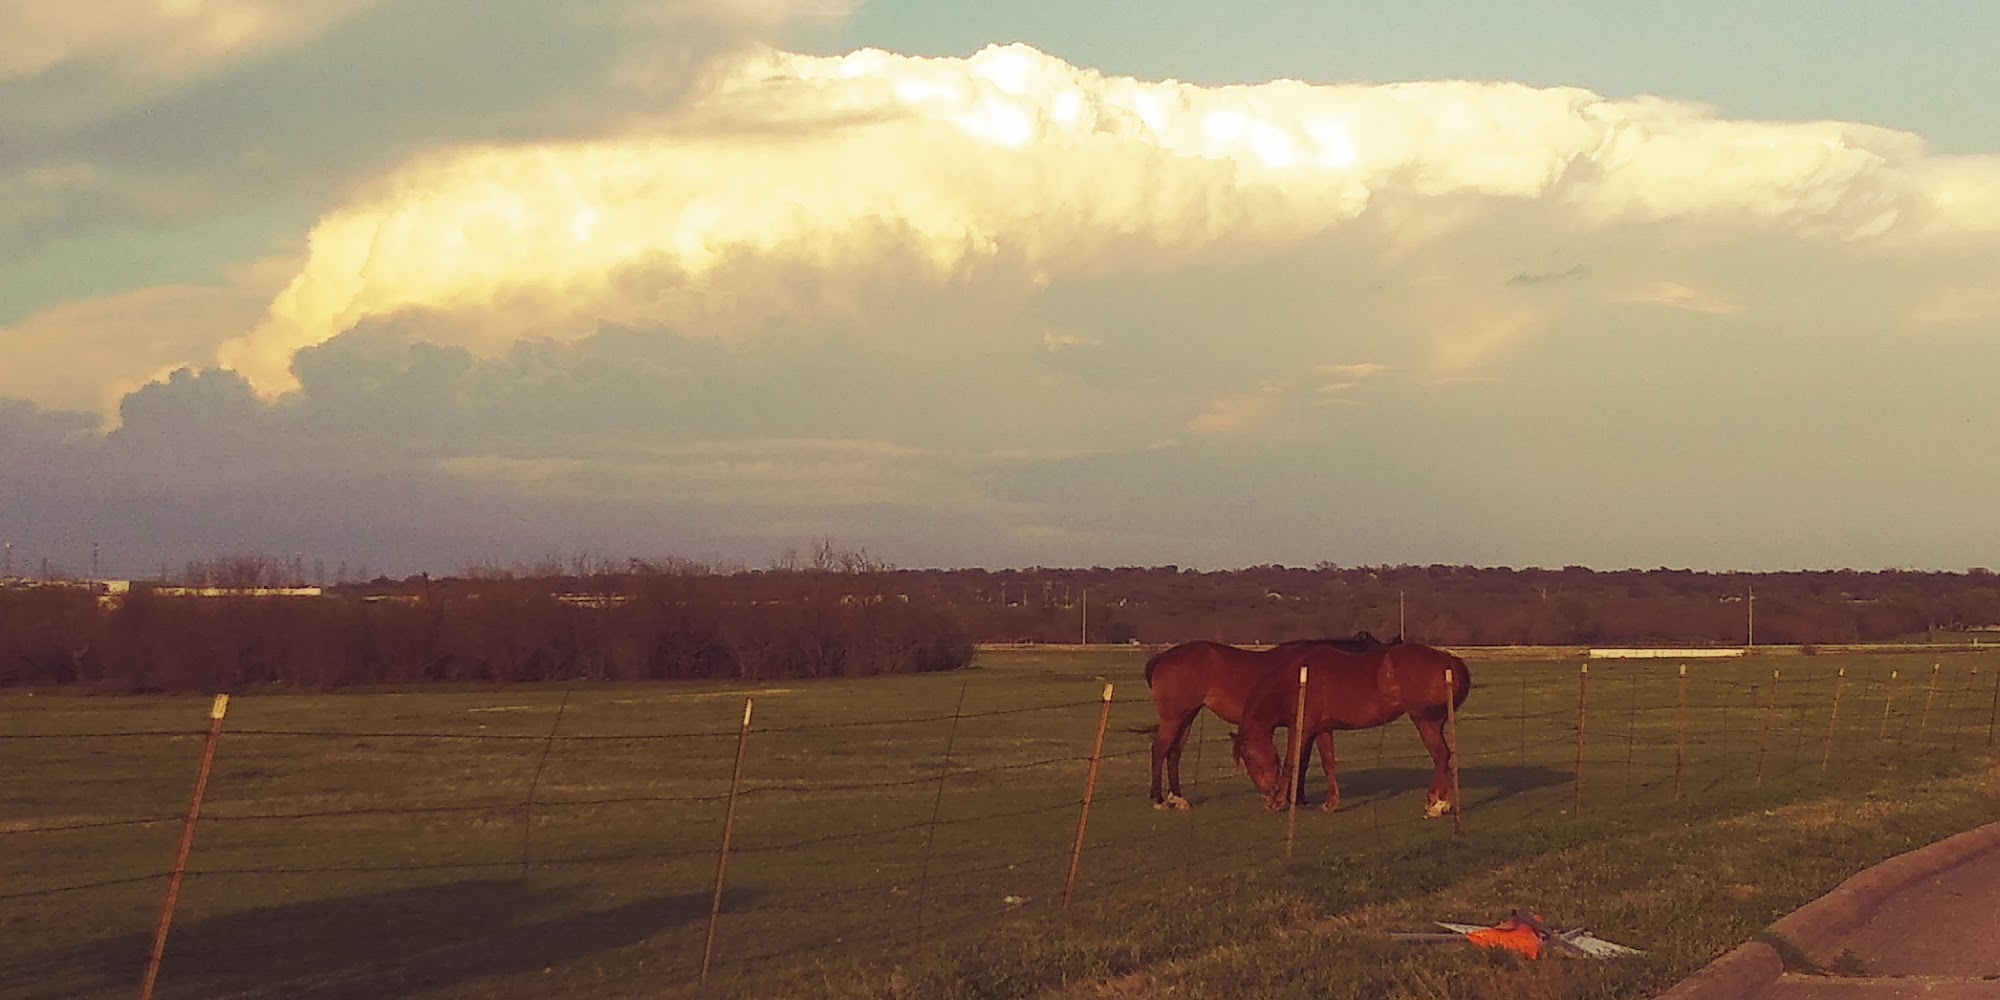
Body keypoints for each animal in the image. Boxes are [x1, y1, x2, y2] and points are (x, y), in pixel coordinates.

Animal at [1144, 631, 1398, 810]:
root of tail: (1163, 657)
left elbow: (1302, 761)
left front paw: (1298, 797)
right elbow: (1300, 760)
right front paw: (1297, 798)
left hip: (1187, 716)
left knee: (1174, 752)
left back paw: (1177, 798)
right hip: (1174, 717)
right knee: (1160, 749)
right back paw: (1159, 799)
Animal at [1229, 642, 1471, 818]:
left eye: (1248, 757)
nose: (1266, 792)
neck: (1296, 682)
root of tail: (1451, 660)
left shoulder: (1301, 728)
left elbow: (1292, 763)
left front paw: (1279, 802)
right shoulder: (1322, 730)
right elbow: (1327, 763)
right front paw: (1330, 802)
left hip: (1425, 722)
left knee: (1441, 756)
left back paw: (1437, 805)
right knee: (1442, 757)